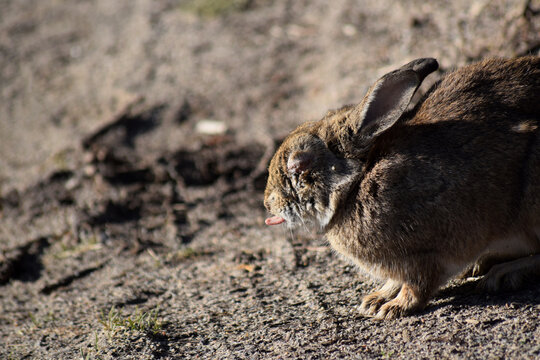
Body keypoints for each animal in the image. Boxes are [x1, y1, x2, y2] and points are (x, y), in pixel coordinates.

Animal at [264, 57, 540, 320]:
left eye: (299, 164)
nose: (268, 203)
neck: (356, 184)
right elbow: (395, 281)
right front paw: (375, 299)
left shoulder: (426, 254)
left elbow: (418, 285)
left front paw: (393, 308)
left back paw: (500, 274)